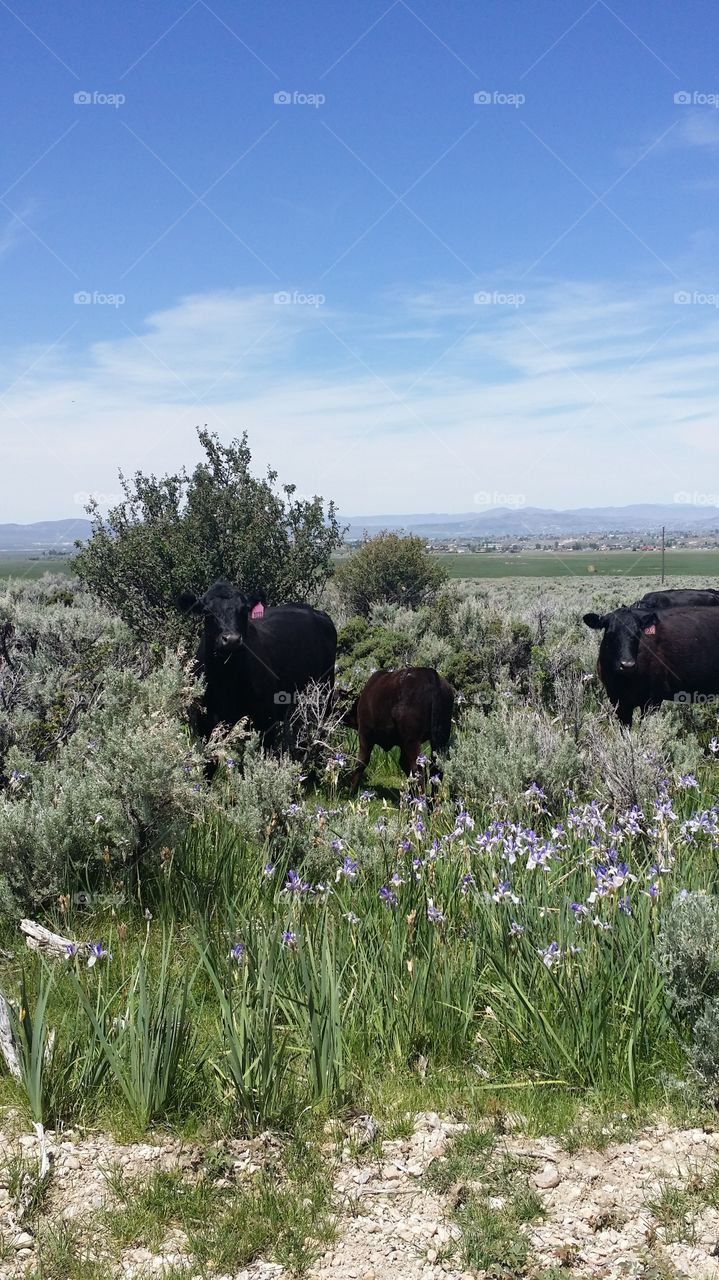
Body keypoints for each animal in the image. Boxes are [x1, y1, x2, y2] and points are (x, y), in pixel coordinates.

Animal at [178, 580, 337, 748]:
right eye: (207, 612)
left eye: (244, 610)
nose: (232, 639)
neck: (226, 679)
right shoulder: (203, 723)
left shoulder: (266, 720)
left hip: (325, 689)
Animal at [583, 605, 719, 726]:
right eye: (610, 633)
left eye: (638, 633)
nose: (627, 665)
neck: (625, 681)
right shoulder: (618, 700)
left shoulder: (653, 699)